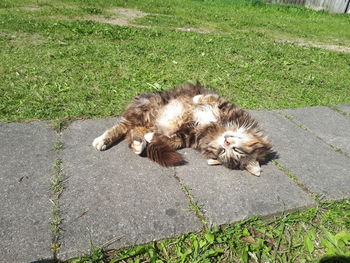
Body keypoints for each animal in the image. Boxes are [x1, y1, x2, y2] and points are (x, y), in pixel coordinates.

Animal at [92, 82, 270, 177]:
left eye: (227, 152)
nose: (225, 142)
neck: (215, 130)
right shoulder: (225, 106)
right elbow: (209, 99)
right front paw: (197, 99)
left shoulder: (190, 136)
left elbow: (173, 140)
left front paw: (151, 138)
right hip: (147, 107)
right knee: (121, 127)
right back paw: (101, 141)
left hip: (144, 122)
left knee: (134, 132)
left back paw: (139, 144)